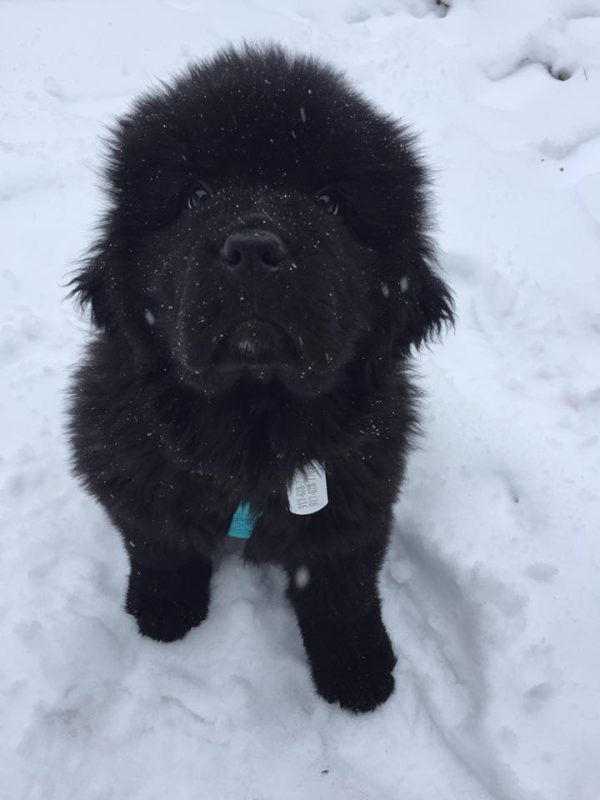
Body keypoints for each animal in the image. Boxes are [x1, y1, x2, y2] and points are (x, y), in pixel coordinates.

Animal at [68, 45, 452, 712]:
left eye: (330, 201)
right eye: (195, 195)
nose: (252, 248)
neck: (251, 420)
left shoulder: (359, 495)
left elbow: (341, 585)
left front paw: (358, 671)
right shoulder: (124, 467)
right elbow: (157, 542)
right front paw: (163, 611)